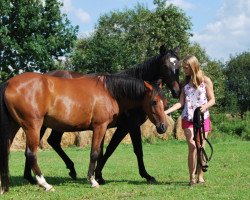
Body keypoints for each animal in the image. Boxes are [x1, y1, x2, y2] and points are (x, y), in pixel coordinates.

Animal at [0, 72, 168, 192]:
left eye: (165, 102)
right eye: (154, 102)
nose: (163, 127)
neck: (109, 91)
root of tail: (8, 83)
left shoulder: (104, 129)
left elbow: (101, 152)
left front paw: (98, 177)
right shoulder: (100, 126)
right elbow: (94, 153)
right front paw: (93, 180)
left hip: (14, 126)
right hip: (32, 126)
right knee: (31, 154)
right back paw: (45, 184)